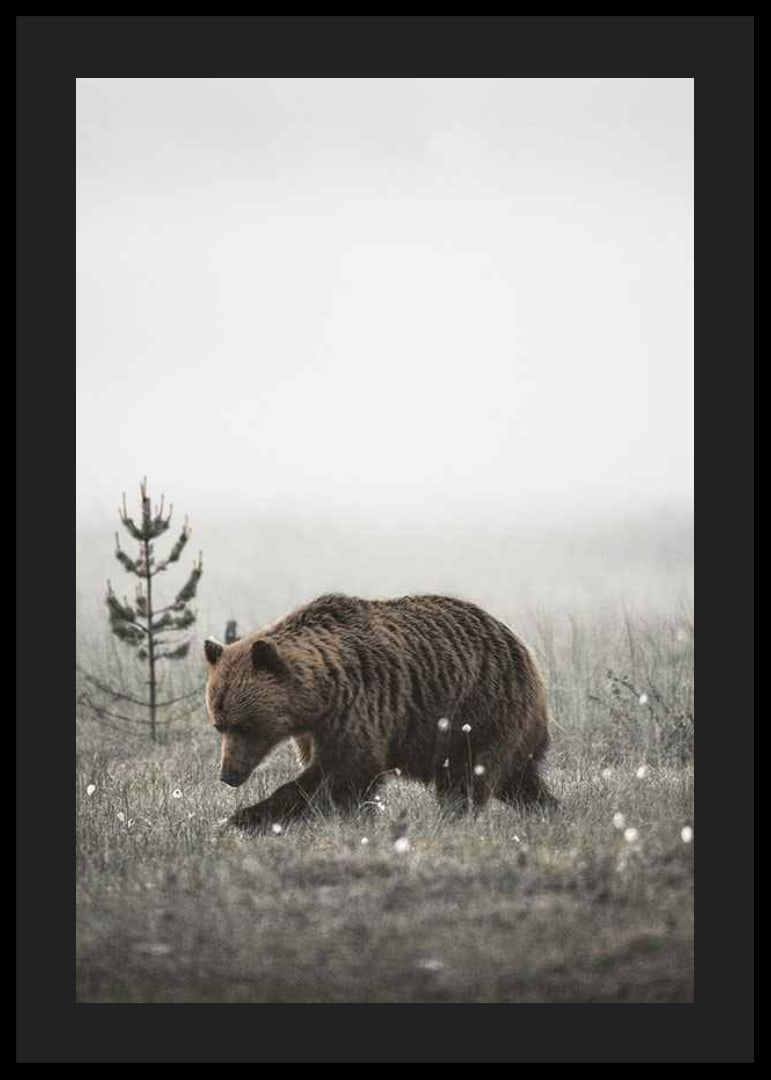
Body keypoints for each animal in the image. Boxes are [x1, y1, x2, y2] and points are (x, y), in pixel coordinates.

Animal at [203, 593, 555, 832]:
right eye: (219, 725)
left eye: (245, 725)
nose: (228, 774)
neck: (318, 697)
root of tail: (523, 648)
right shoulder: (312, 730)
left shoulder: (358, 708)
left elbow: (343, 772)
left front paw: (244, 817)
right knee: (518, 779)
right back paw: (550, 809)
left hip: (480, 712)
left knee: (468, 776)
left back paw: (454, 819)